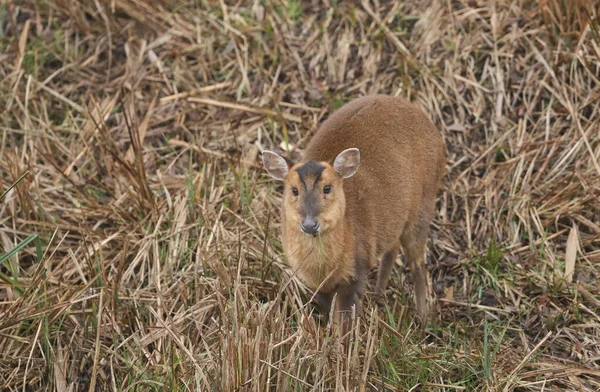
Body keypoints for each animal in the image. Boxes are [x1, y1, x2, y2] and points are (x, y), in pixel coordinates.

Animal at [262, 95, 446, 330]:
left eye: (327, 188)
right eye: (294, 190)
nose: (310, 224)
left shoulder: (356, 270)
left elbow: (345, 322)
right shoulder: (315, 283)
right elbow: (329, 314)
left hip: (424, 202)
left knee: (417, 261)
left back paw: (422, 319)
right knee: (393, 247)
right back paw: (378, 296)